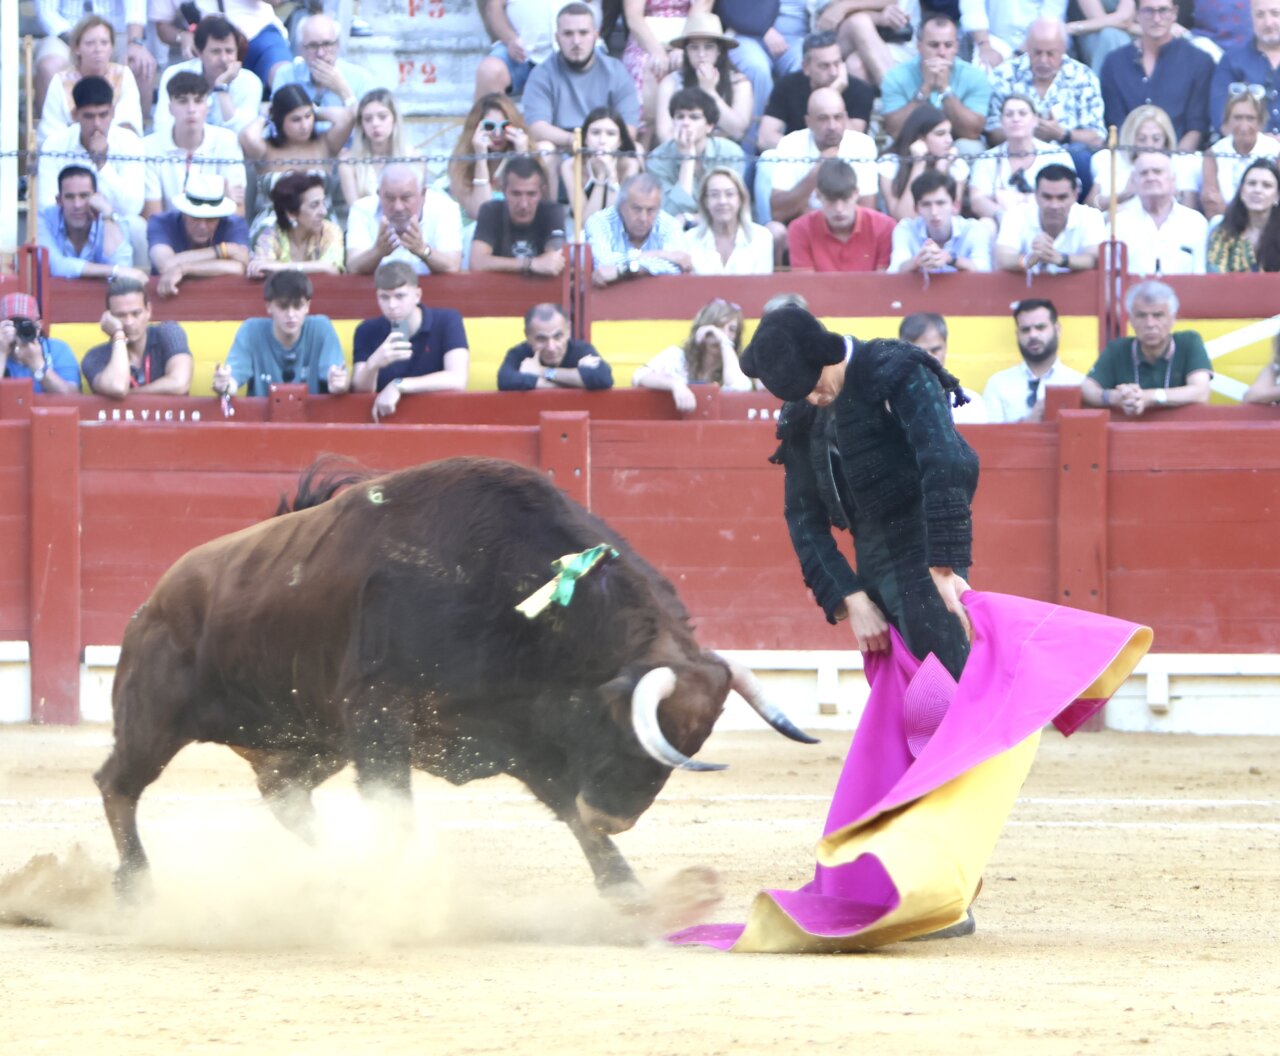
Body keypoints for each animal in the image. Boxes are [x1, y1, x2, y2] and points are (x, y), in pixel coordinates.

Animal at [96, 457, 815, 897]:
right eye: (623, 730)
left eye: (692, 744)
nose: (614, 817)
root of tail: (155, 598)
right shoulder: (381, 716)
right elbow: (397, 816)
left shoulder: (518, 735)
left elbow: (567, 813)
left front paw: (632, 896)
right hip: (155, 721)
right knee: (118, 784)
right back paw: (136, 887)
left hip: (312, 738)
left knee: (283, 794)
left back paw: (337, 870)